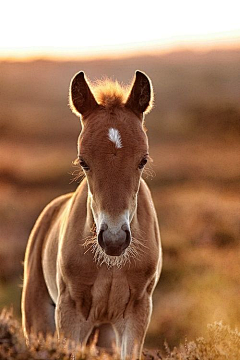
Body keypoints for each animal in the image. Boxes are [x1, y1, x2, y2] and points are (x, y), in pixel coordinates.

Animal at [22, 71, 161, 360]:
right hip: (38, 320)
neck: (111, 264)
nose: (114, 240)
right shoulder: (70, 312)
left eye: (143, 160)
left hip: (104, 331)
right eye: (83, 161)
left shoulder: (138, 311)